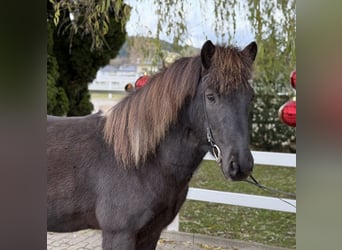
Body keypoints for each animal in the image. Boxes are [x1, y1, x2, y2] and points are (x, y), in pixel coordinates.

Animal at [47, 40, 256, 249]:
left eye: (251, 97)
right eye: (210, 96)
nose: (240, 165)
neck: (138, 161)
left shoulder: (152, 232)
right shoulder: (119, 235)